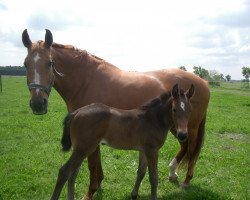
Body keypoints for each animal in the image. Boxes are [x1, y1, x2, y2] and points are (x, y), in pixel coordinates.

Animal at [50, 83, 194, 199]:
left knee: (73, 174)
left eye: (190, 110)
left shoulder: (143, 150)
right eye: (174, 109)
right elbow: (153, 178)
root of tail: (76, 112)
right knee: (64, 171)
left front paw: (134, 195)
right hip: (84, 148)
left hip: (81, 149)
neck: (153, 119)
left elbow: (141, 173)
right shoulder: (152, 151)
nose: (182, 135)